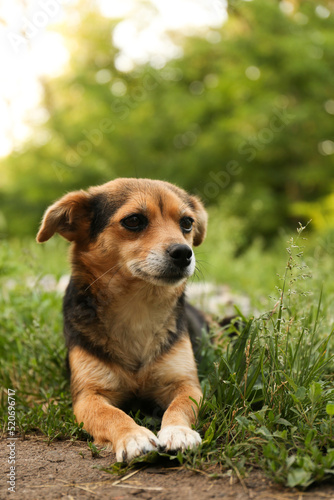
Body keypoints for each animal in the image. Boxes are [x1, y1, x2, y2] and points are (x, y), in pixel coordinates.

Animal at [37, 178, 209, 462]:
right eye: (134, 220)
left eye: (187, 222)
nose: (184, 253)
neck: (137, 308)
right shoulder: (89, 395)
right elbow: (111, 414)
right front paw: (134, 435)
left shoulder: (186, 384)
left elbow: (180, 406)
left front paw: (178, 431)